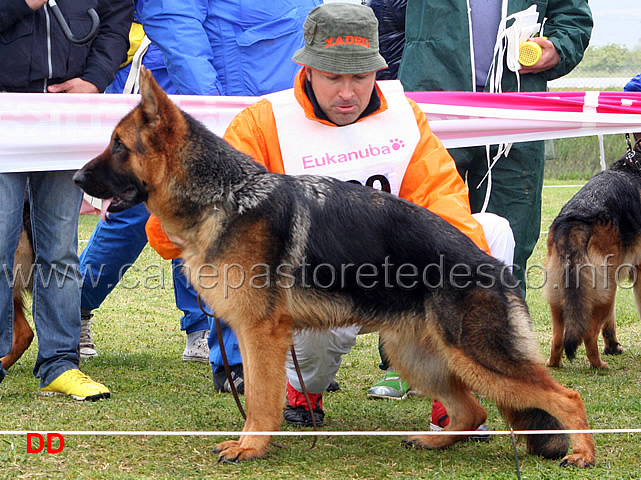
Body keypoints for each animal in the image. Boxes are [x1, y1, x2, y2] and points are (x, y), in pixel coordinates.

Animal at [71, 69, 596, 466]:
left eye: (118, 146)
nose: (75, 178)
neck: (226, 196)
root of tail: (495, 268)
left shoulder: (261, 334)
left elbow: (259, 397)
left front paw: (251, 446)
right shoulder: (253, 333)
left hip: (477, 355)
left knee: (565, 396)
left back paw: (583, 453)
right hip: (416, 355)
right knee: (471, 412)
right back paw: (434, 440)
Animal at [544, 137, 640, 370]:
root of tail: (574, 223)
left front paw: (612, 347)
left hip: (563, 296)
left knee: (558, 338)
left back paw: (554, 363)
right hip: (604, 291)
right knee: (588, 334)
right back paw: (599, 365)